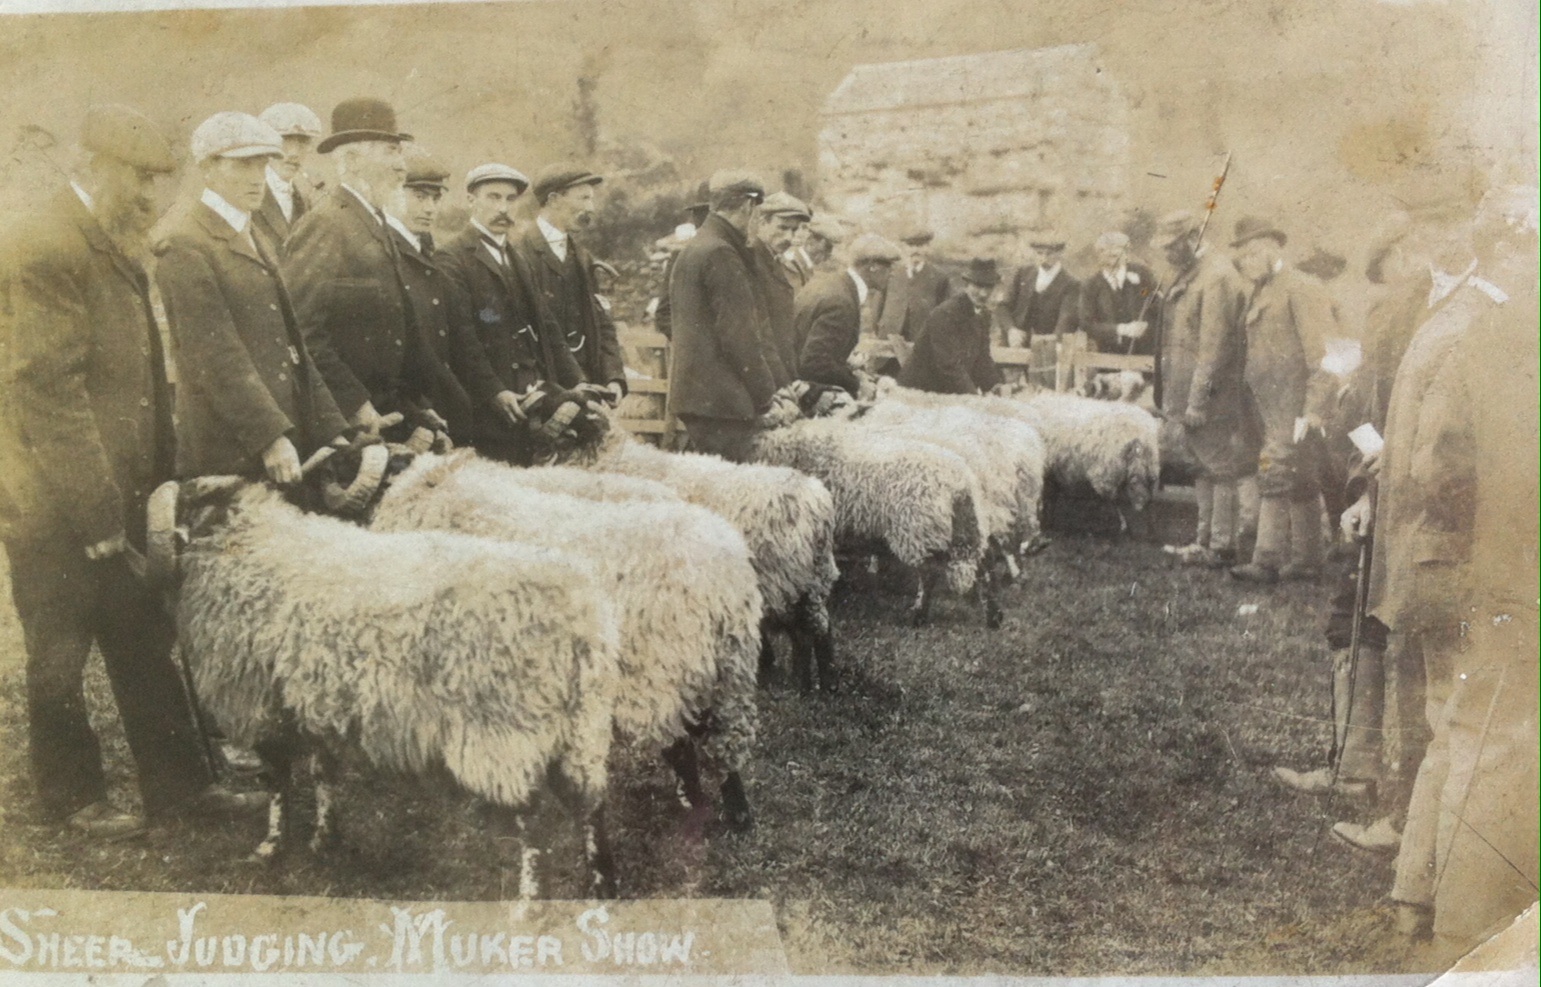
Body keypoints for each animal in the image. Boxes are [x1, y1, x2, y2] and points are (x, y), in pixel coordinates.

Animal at [166, 478, 621, 897]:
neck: (243, 543)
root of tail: (578, 616)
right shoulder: (311, 698)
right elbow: (322, 770)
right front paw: (324, 837)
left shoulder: (257, 702)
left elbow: (277, 778)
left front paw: (272, 845)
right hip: (583, 726)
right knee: (590, 804)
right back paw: (601, 885)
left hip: (507, 733)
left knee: (531, 821)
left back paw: (530, 902)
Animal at [370, 450, 766, 830]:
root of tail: (723, 579)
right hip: (729, 667)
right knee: (724, 736)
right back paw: (737, 809)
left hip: (663, 670)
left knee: (681, 743)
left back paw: (697, 803)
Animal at [562, 428, 842, 693]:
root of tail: (817, 504)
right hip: (814, 579)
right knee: (821, 628)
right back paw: (826, 682)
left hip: (785, 578)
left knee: (802, 633)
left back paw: (802, 685)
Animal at [748, 416, 1000, 628]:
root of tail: (961, 481)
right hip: (966, 527)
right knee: (983, 565)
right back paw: (993, 616)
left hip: (918, 530)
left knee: (929, 574)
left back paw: (918, 615)